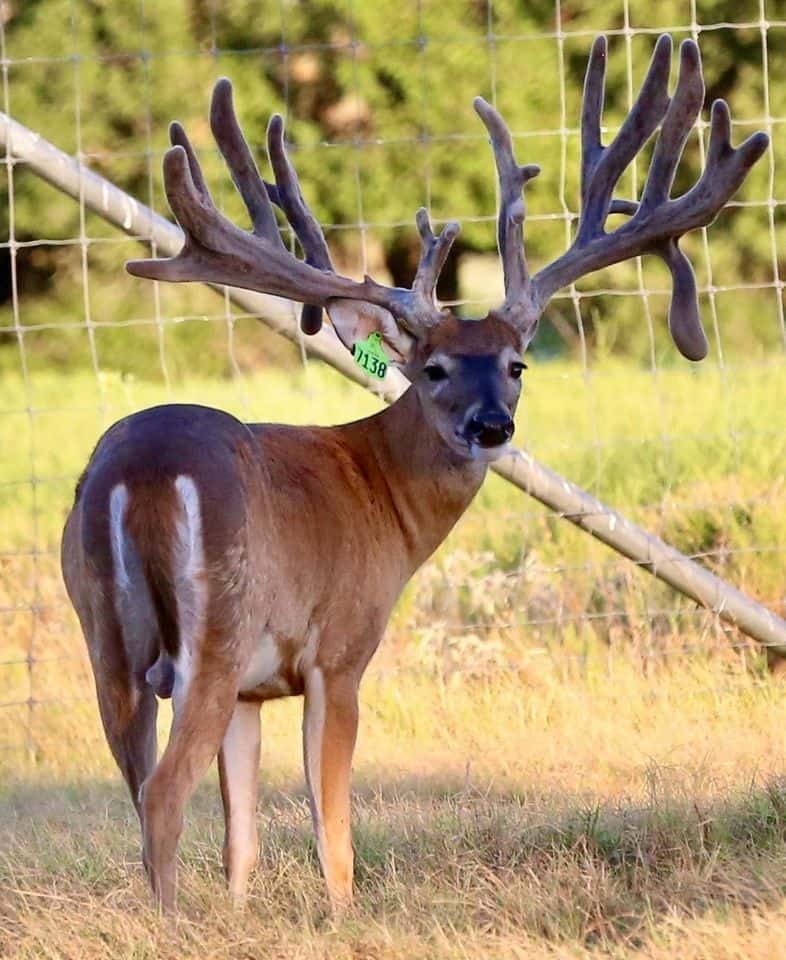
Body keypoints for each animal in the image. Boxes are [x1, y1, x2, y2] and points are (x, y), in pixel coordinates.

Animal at [61, 34, 767, 912]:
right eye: (433, 369)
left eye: (516, 364)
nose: (491, 425)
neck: (379, 493)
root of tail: (143, 471)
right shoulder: (338, 648)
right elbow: (331, 827)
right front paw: (341, 916)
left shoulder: (257, 689)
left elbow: (243, 839)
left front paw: (238, 917)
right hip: (216, 627)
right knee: (161, 794)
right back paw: (172, 926)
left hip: (105, 634)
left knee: (137, 783)